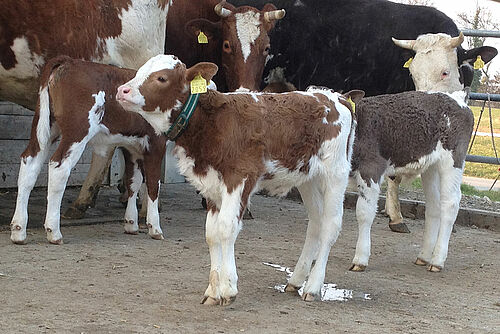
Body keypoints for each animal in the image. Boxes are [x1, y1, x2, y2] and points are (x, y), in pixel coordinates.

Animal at [10, 56, 166, 245]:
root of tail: (69, 62)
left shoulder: (132, 147)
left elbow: (133, 182)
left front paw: (131, 224)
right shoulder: (156, 143)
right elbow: (153, 185)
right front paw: (155, 228)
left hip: (45, 125)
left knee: (29, 164)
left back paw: (18, 231)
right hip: (77, 131)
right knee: (59, 167)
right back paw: (53, 232)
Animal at [116, 54, 360, 306]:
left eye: (161, 78)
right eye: (140, 71)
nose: (122, 90)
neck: (211, 123)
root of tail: (335, 96)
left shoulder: (239, 176)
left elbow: (226, 228)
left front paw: (229, 288)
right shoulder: (212, 184)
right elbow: (211, 233)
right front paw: (213, 291)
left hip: (335, 173)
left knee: (330, 225)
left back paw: (313, 286)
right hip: (307, 178)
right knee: (315, 223)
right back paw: (296, 280)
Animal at [348, 90, 472, 272]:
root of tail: (456, 97)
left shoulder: (371, 168)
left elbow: (364, 213)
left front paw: (360, 259)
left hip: (452, 160)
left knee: (450, 204)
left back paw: (437, 261)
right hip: (431, 168)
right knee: (434, 205)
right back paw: (424, 256)